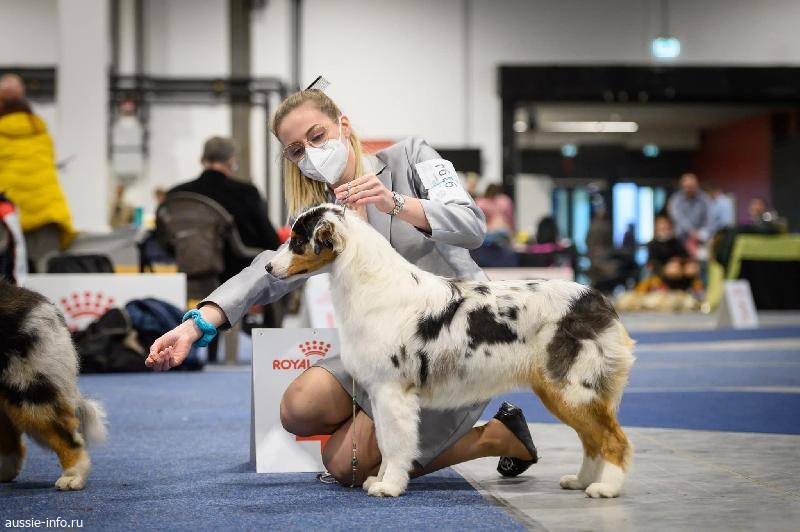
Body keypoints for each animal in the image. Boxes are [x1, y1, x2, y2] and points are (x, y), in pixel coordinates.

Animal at [266, 204, 635, 498]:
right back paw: (581, 481)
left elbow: (396, 443)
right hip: (558, 390)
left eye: (297, 241)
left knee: (613, 439)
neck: (370, 284)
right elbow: (385, 441)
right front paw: (379, 480)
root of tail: (597, 299)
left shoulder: (392, 389)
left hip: (572, 388)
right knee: (591, 439)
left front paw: (390, 486)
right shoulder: (379, 392)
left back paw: (606, 488)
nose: (268, 268)